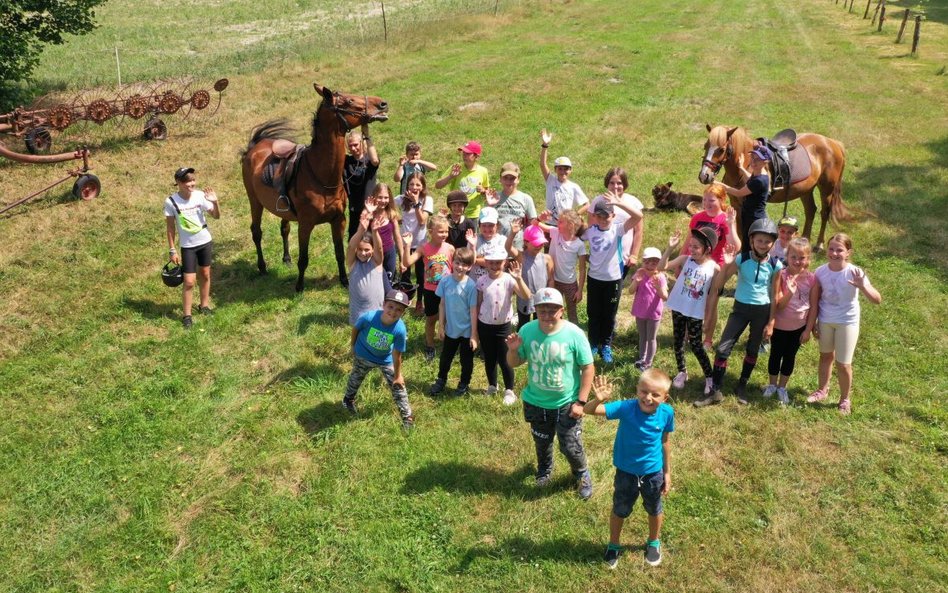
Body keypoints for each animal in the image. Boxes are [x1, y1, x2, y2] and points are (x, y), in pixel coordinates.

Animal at [241, 85, 388, 292]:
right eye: (348, 101)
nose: (382, 104)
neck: (321, 175)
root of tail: (254, 147)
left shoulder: (338, 220)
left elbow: (340, 252)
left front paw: (344, 281)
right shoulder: (306, 224)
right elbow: (303, 259)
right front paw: (299, 286)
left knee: (284, 228)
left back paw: (286, 258)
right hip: (254, 201)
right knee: (256, 232)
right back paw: (262, 267)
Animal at [700, 123, 848, 249]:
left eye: (721, 149)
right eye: (706, 146)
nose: (704, 176)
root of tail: (833, 143)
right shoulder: (736, 203)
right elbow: (739, 231)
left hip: (827, 190)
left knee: (824, 213)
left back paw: (819, 244)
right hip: (806, 190)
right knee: (811, 210)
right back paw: (804, 240)